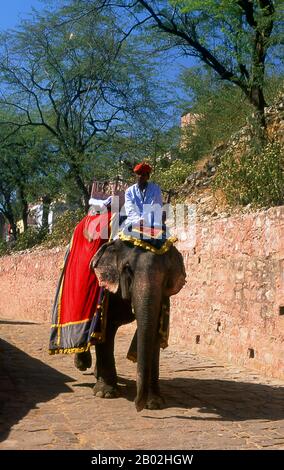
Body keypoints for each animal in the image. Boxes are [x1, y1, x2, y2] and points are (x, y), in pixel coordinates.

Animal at [75, 239, 186, 412]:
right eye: (127, 269)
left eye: (166, 276)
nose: (137, 406)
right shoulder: (107, 291)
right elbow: (106, 329)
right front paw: (106, 394)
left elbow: (154, 331)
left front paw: (154, 403)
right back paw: (82, 365)